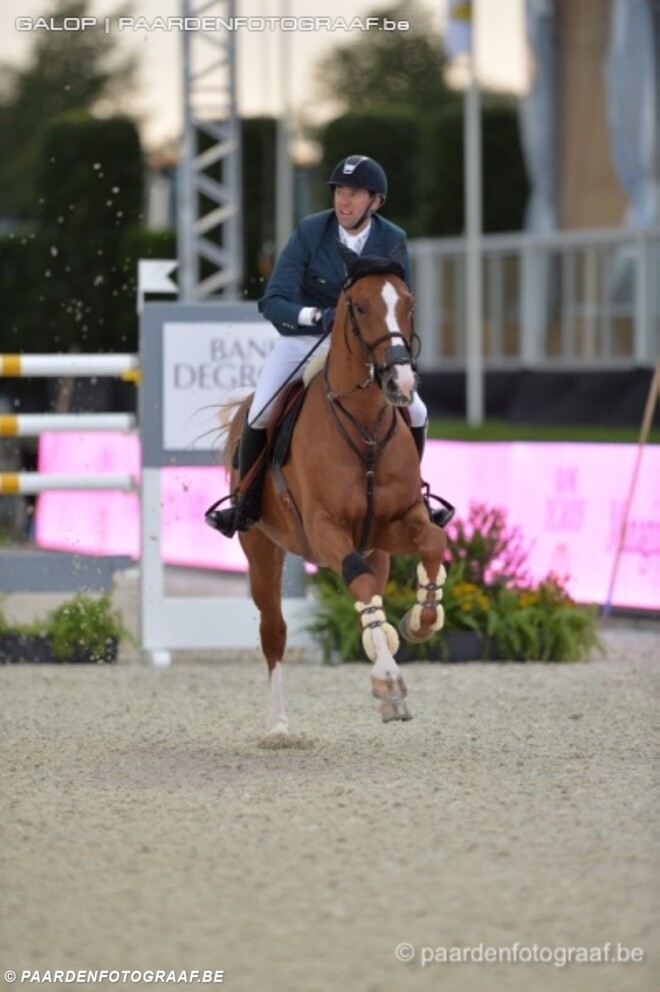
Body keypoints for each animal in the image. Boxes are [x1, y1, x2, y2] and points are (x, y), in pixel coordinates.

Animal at [223, 253, 448, 732]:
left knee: (373, 592)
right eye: (359, 307)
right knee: (274, 630)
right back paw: (279, 726)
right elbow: (356, 580)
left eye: (408, 303)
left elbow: (432, 542)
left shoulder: (397, 522)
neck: (364, 426)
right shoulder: (324, 530)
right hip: (262, 549)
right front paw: (389, 682)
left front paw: (421, 621)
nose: (401, 383)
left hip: (376, 548)